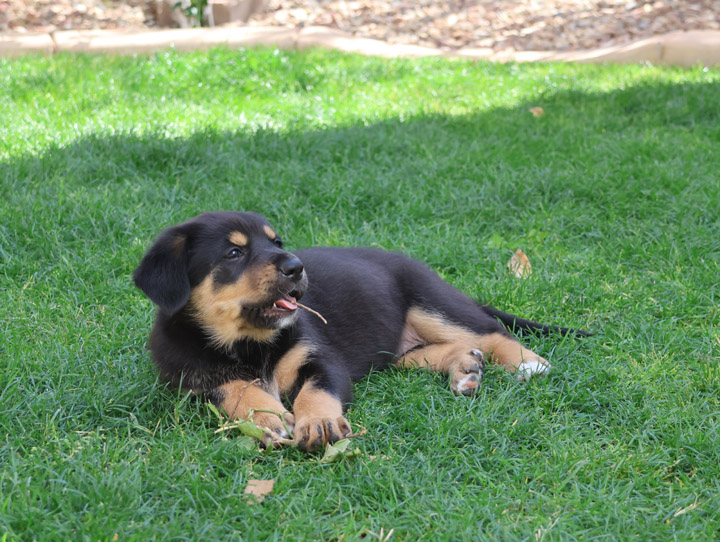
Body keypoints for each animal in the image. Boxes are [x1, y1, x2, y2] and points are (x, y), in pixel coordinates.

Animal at [132, 211, 588, 450]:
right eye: (233, 252)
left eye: (277, 241)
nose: (295, 266)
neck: (249, 343)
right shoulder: (190, 382)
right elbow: (236, 389)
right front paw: (269, 418)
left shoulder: (321, 358)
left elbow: (316, 391)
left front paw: (318, 424)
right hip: (399, 348)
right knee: (434, 350)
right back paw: (464, 369)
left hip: (430, 301)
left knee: (489, 332)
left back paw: (528, 363)